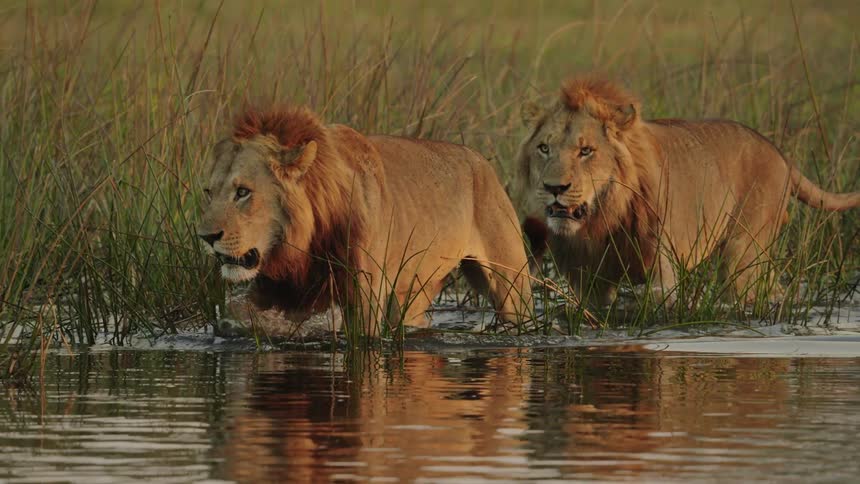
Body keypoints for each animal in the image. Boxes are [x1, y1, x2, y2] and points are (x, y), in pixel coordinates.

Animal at [197, 106, 533, 335]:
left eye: (243, 192)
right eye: (208, 193)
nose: (206, 238)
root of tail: (481, 161)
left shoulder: (365, 295)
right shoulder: (281, 289)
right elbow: (238, 314)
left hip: (511, 286)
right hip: (414, 291)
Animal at [516, 75, 860, 307]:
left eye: (585, 151)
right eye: (544, 148)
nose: (554, 188)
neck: (603, 217)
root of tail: (778, 151)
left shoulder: (661, 272)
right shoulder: (588, 282)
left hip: (744, 252)